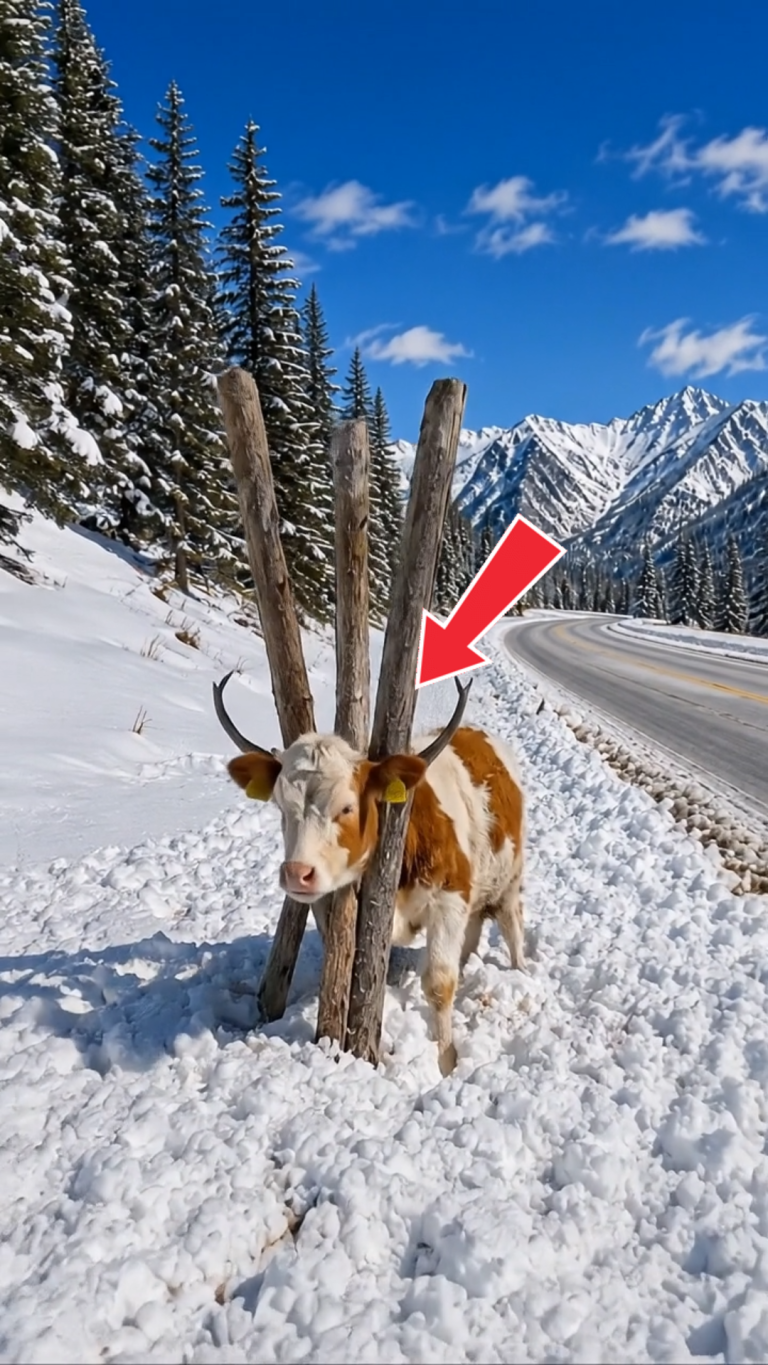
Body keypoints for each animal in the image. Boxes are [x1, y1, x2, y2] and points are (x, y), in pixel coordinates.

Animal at [213, 672, 526, 1076]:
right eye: (281, 807)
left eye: (347, 807)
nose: (297, 873)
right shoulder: (330, 902)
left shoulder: (449, 898)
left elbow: (439, 984)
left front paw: (447, 1063)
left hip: (509, 877)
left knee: (511, 920)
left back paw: (520, 970)